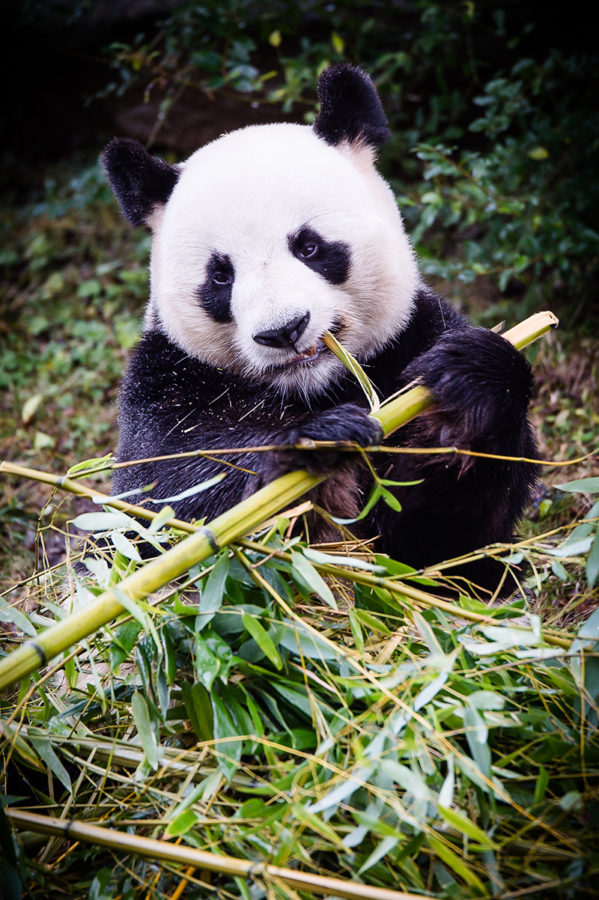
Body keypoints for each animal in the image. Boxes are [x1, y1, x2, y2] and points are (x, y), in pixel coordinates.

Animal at [103, 65, 540, 596]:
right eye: (220, 276)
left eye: (309, 247)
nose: (284, 330)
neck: (315, 387)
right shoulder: (168, 382)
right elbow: (164, 500)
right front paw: (314, 447)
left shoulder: (409, 338)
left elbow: (450, 542)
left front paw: (470, 384)